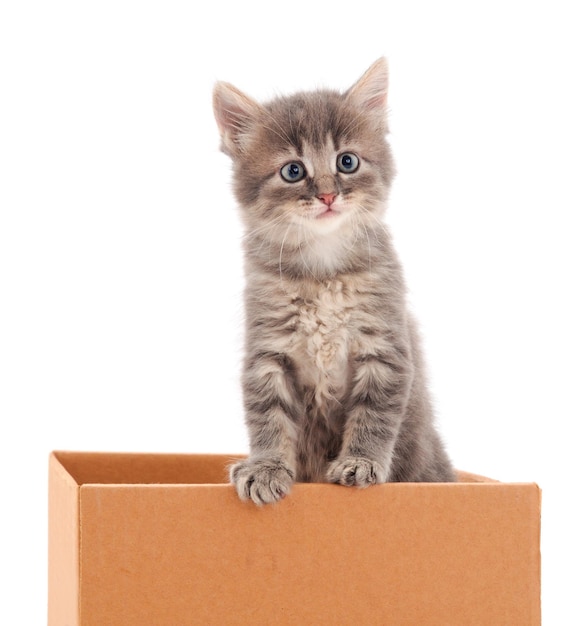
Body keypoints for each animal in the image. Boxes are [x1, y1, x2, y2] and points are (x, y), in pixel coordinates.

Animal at [213, 58, 456, 504]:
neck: (323, 270)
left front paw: (361, 462)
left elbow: (374, 414)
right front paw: (266, 467)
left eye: (347, 162)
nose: (327, 195)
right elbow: (268, 417)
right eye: (293, 171)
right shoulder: (268, 350)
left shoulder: (384, 347)